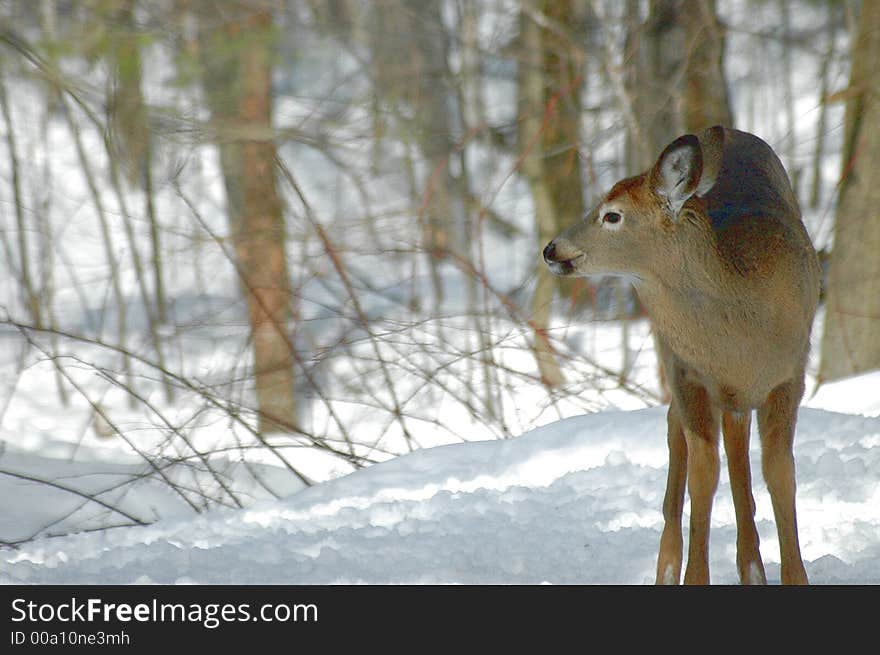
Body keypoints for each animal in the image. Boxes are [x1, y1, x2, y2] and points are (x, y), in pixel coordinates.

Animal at [540, 127, 820, 584]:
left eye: (612, 215)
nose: (552, 249)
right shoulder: (690, 375)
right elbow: (703, 475)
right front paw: (693, 576)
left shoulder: (790, 375)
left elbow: (780, 473)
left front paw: (795, 576)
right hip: (679, 363)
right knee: (681, 432)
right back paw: (674, 567)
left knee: (737, 448)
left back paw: (752, 567)